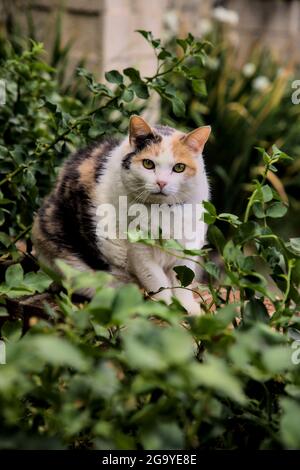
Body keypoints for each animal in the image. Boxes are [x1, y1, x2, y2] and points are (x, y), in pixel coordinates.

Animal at [32, 116, 211, 316]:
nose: (161, 182)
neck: (162, 210)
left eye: (179, 167)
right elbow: (158, 283)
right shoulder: (140, 252)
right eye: (148, 164)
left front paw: (189, 309)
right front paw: (168, 309)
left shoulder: (189, 245)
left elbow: (183, 283)